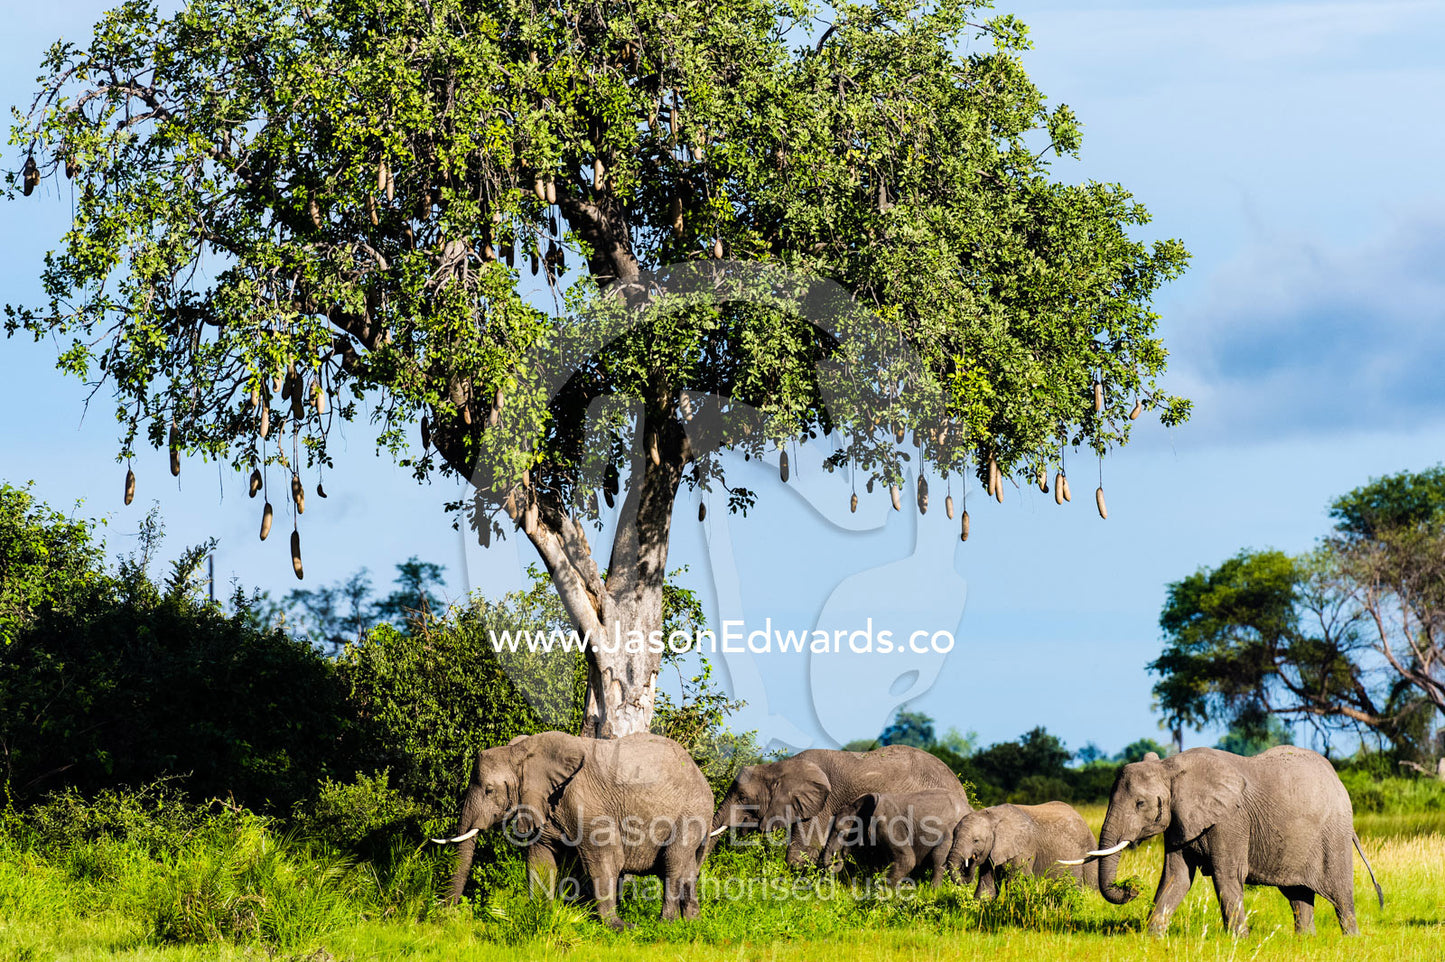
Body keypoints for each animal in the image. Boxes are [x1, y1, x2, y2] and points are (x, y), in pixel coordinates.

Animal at [431, 730, 713, 929]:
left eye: (489, 790)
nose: (446, 916)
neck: (522, 752)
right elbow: (541, 859)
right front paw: (541, 915)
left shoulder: (586, 802)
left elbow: (606, 859)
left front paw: (620, 927)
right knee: (687, 868)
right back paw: (693, 924)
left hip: (691, 813)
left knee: (673, 863)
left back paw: (666, 924)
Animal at [817, 789, 971, 885]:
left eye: (841, 832)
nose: (836, 859)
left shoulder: (887, 825)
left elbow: (907, 860)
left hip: (951, 833)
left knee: (938, 860)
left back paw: (934, 891)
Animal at [946, 802, 1098, 899]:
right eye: (953, 835)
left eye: (976, 840)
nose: (972, 858)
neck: (992, 816)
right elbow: (986, 889)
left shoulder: (1024, 848)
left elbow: (1017, 884)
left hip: (1089, 849)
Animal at [1077, 746, 1383, 936]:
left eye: (1140, 803)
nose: (1131, 887)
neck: (1170, 766)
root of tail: (1339, 781)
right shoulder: (1180, 821)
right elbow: (1176, 877)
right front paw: (1152, 937)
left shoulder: (1230, 820)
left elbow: (1226, 874)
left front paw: (1239, 940)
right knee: (1298, 895)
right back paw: (1305, 941)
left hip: (1333, 835)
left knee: (1341, 894)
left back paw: (1351, 939)